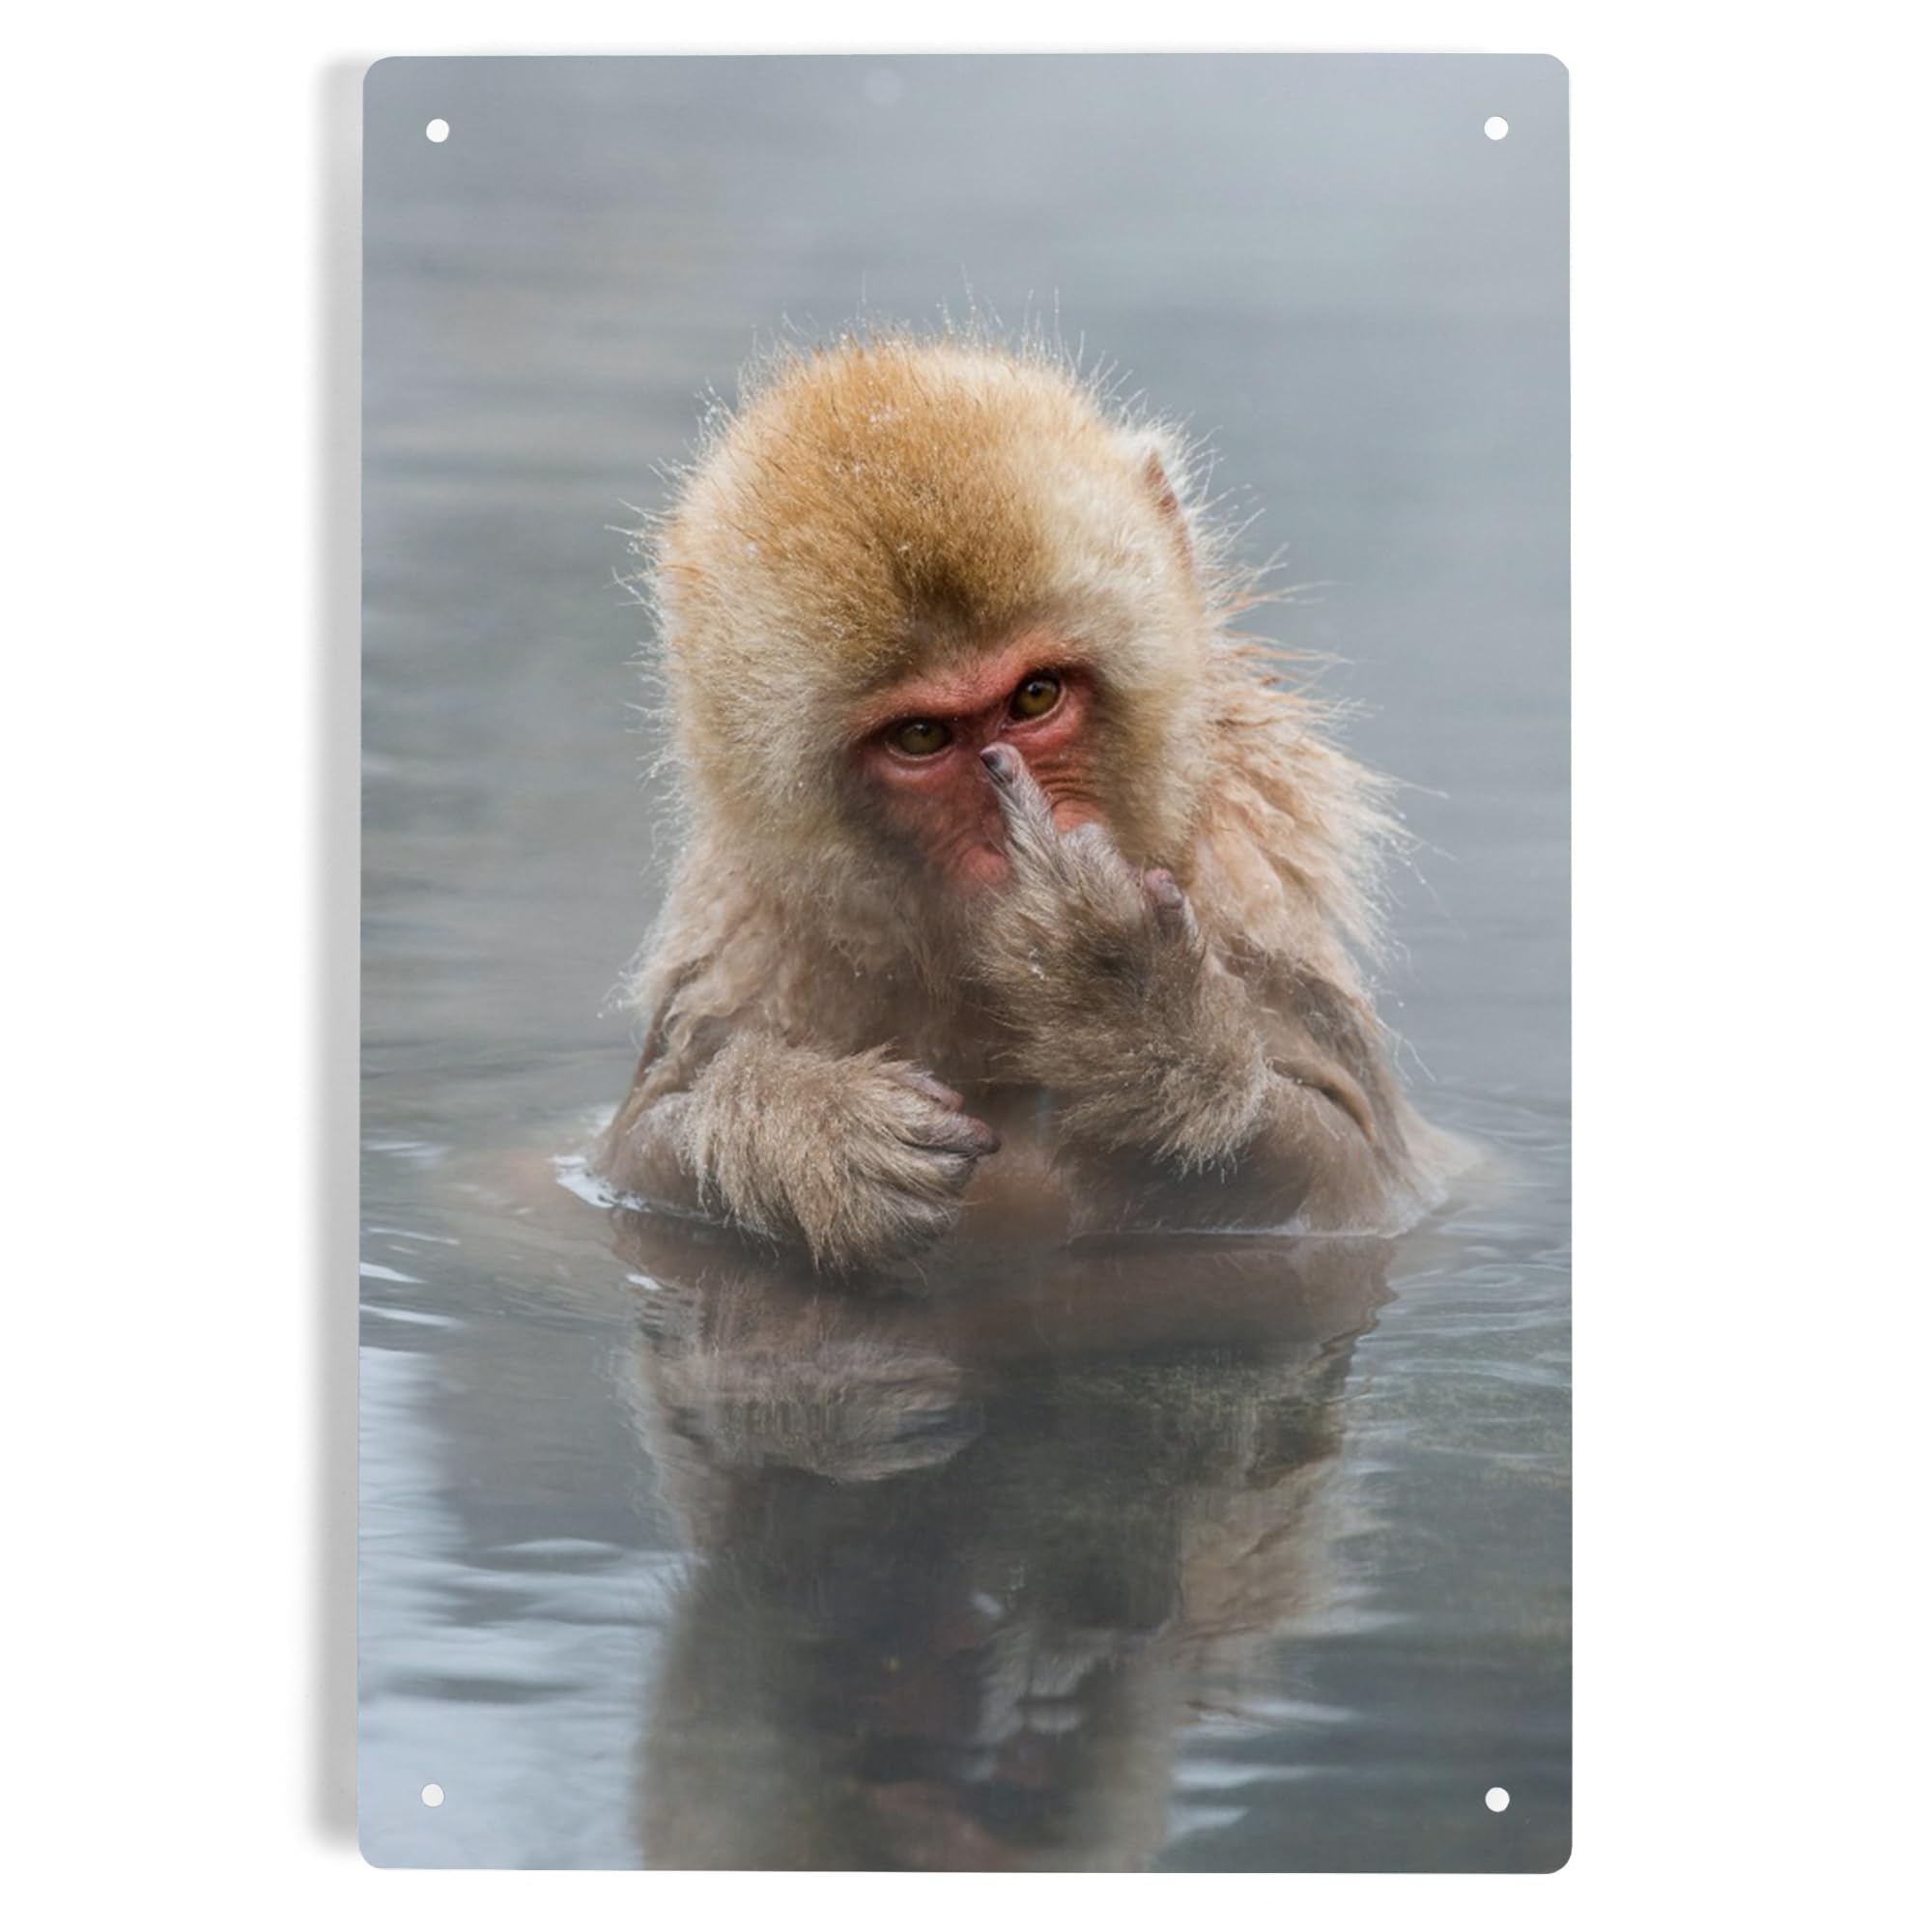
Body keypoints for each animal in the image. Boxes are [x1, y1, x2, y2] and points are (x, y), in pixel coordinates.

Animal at [598, 331, 1456, 1274]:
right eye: (922, 738)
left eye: (1036, 696)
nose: (1012, 839)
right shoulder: (748, 947)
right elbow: (631, 1156)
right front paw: (807, 1128)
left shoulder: (1252, 896)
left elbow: (1358, 1177)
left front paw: (1124, 999)